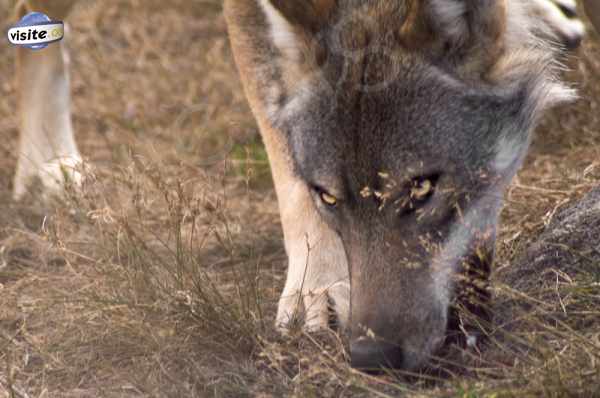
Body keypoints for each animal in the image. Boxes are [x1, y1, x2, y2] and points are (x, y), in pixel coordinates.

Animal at [5, 0, 584, 374]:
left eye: (421, 189)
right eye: (327, 196)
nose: (371, 359)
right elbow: (284, 148)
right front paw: (318, 290)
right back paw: (49, 164)